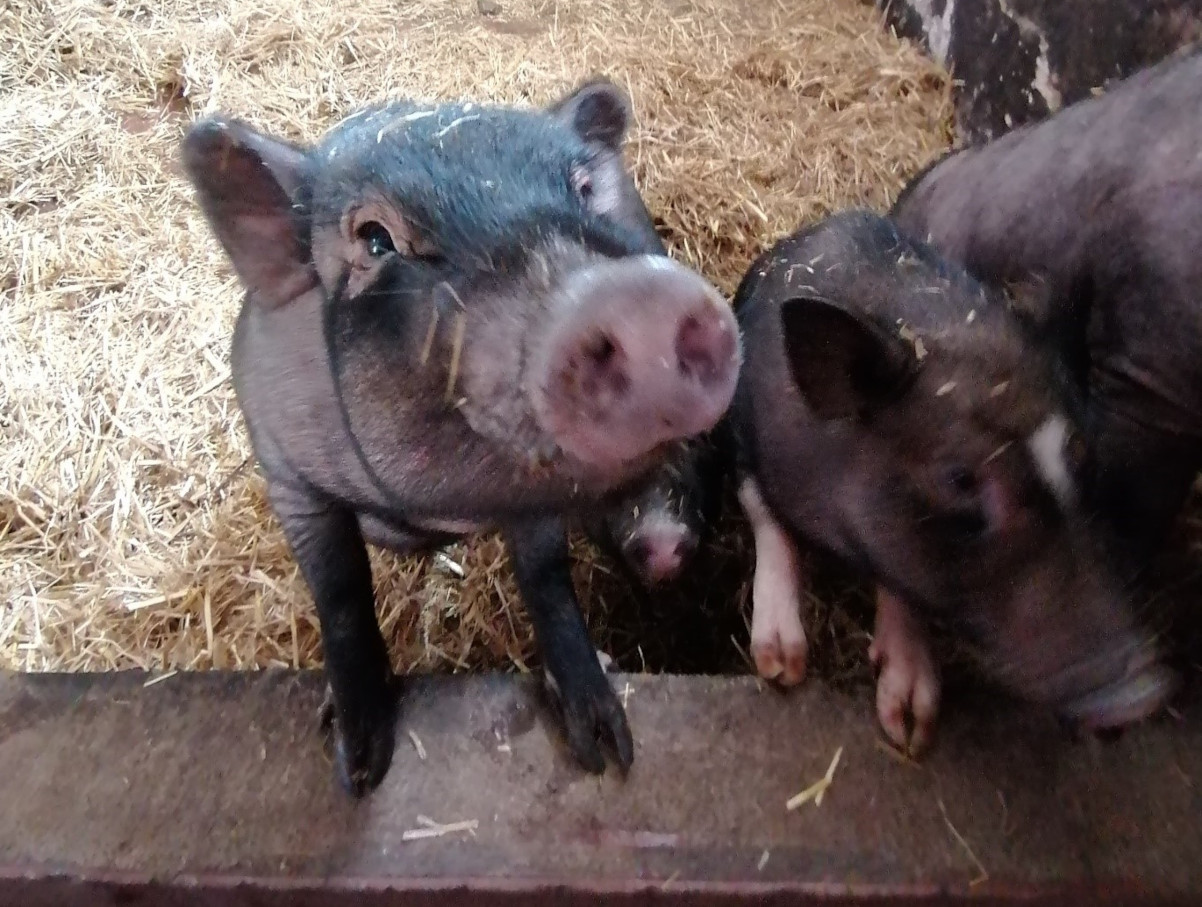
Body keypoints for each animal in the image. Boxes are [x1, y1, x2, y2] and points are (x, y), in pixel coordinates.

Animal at [180, 81, 740, 797]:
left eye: (583, 188)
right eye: (374, 238)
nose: (637, 298)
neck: (437, 508)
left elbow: (546, 578)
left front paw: (607, 750)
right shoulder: (288, 473)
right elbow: (340, 592)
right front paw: (356, 768)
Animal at [730, 209, 1173, 754]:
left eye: (1083, 460)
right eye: (959, 479)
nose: (1143, 695)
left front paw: (910, 724)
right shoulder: (743, 421)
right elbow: (764, 513)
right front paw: (780, 667)